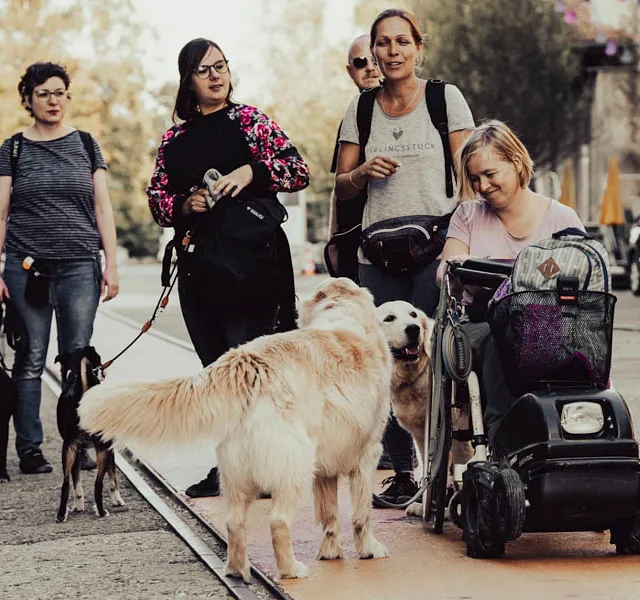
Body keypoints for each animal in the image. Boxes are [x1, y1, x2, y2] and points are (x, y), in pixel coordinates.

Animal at [56, 346, 125, 520]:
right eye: (99, 359)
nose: (103, 371)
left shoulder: (76, 450)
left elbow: (77, 482)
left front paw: (78, 506)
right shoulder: (110, 448)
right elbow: (113, 478)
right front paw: (118, 501)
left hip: (68, 449)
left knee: (66, 483)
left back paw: (61, 515)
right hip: (102, 448)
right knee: (98, 484)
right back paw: (101, 512)